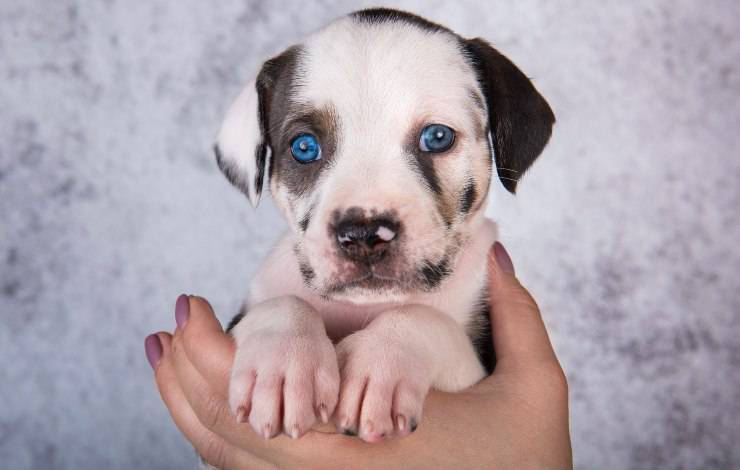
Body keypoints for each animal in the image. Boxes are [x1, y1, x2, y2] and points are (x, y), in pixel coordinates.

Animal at [211, 9, 552, 446]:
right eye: (304, 147)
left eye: (437, 137)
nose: (364, 235)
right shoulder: (240, 318)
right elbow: (283, 304)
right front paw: (285, 364)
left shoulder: (478, 370)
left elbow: (423, 319)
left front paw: (382, 363)